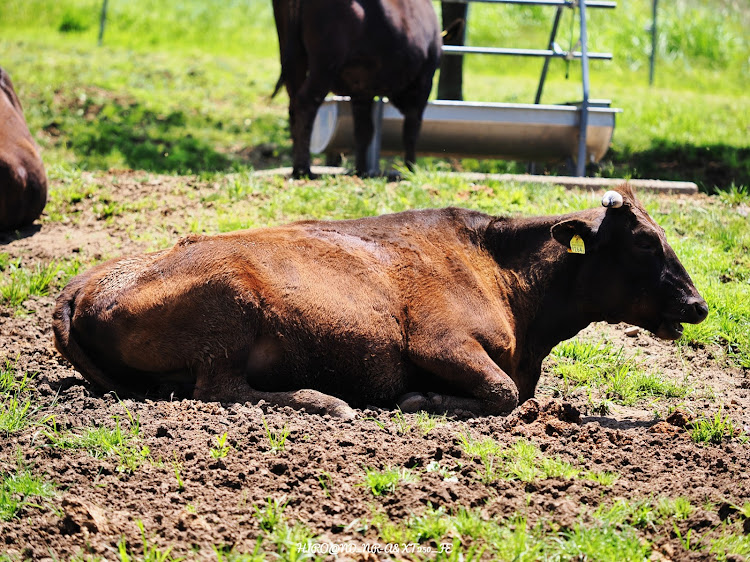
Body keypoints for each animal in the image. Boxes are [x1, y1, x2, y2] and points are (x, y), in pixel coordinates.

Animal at [54, 186, 712, 418]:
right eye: (643, 241)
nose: (698, 304)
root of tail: (82, 287)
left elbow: (514, 394)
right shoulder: (441, 344)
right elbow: (502, 395)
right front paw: (420, 398)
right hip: (232, 308)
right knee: (218, 389)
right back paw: (327, 402)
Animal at [274, 0, 444, 177]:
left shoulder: (362, 90)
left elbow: (364, 129)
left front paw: (361, 170)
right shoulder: (424, 81)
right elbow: (411, 129)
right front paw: (411, 169)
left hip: (293, 58)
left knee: (293, 105)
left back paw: (297, 167)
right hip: (324, 63)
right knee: (306, 102)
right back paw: (304, 169)